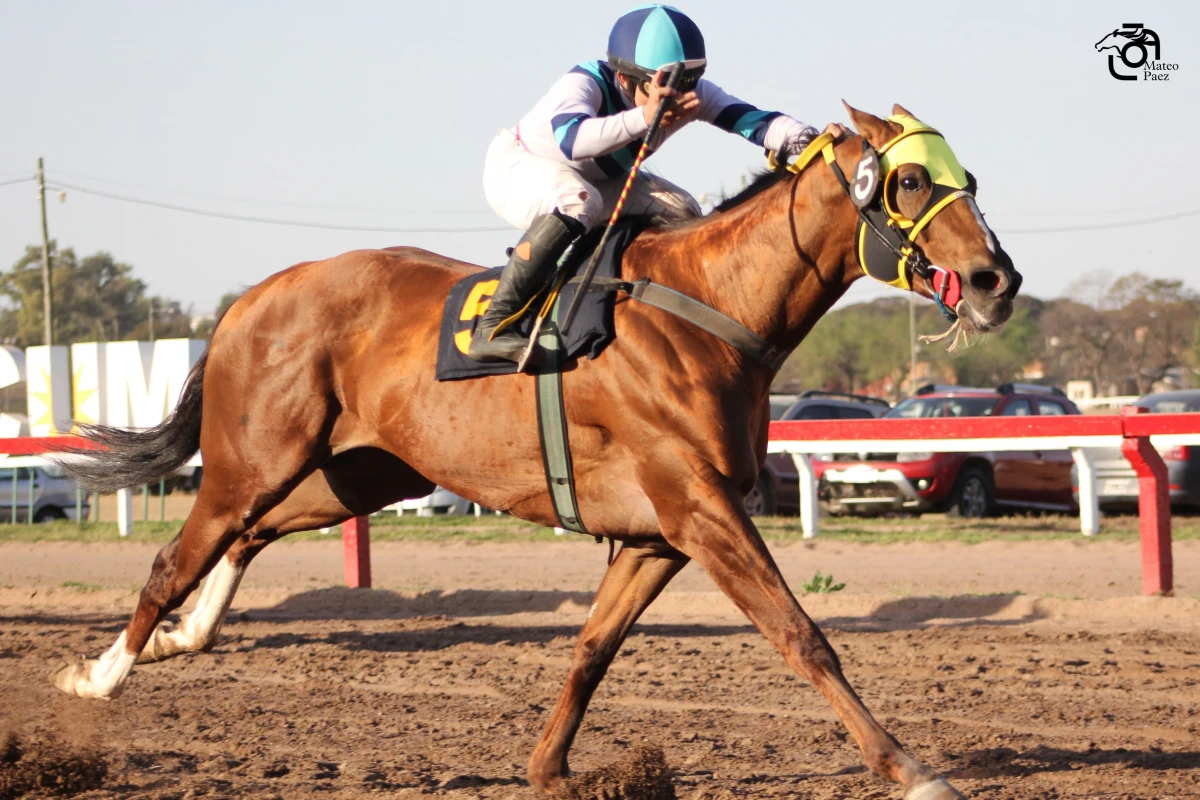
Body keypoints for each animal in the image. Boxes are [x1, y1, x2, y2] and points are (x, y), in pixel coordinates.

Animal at [51, 106, 1017, 800]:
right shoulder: (699, 507)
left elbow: (592, 647)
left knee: (248, 537)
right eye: (906, 181)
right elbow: (801, 634)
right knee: (178, 556)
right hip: (252, 460)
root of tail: (248, 299)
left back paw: (182, 639)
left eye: (969, 177)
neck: (708, 309)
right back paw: (100, 677)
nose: (995, 279)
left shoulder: (656, 535)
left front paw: (550, 769)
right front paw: (912, 770)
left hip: (357, 474)